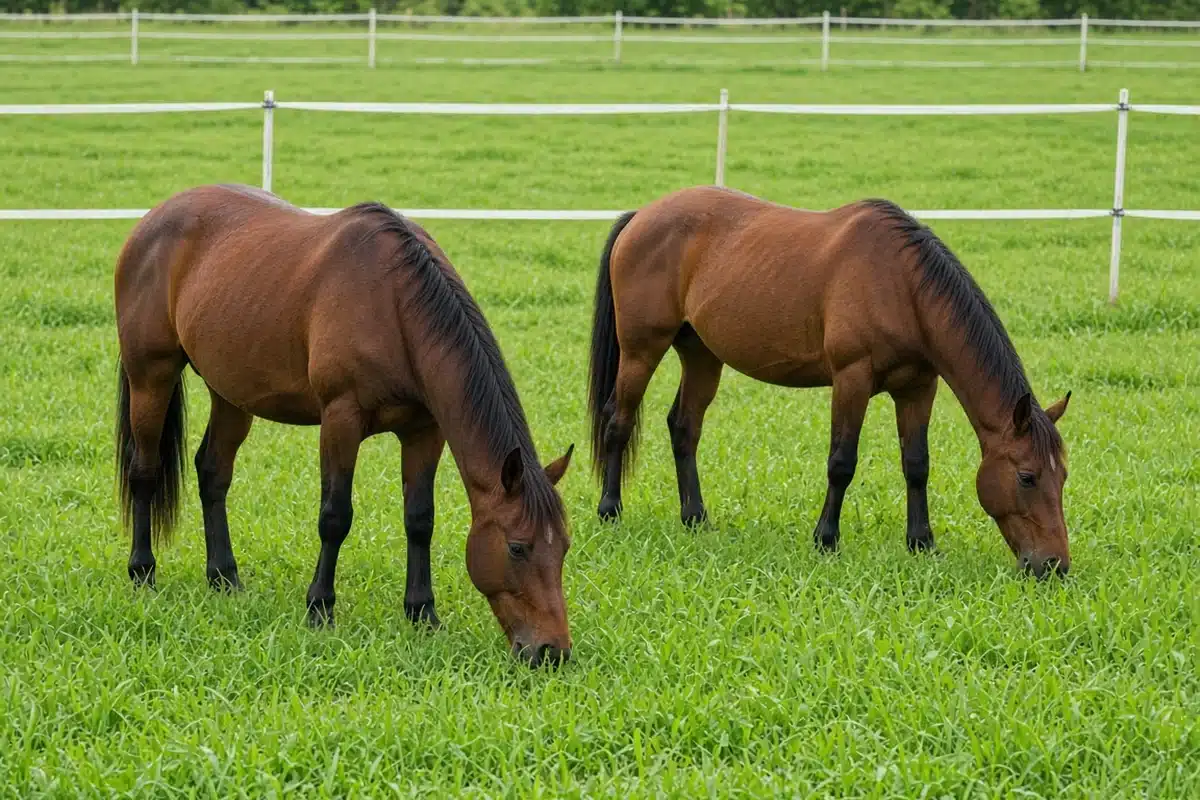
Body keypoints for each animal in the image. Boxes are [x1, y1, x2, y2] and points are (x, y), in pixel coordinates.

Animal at [114, 184, 575, 667]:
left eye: (564, 546)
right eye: (517, 547)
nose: (552, 651)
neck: (394, 305)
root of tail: (153, 219)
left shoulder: (424, 432)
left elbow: (420, 519)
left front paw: (422, 612)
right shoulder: (340, 419)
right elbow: (335, 516)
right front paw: (320, 607)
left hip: (231, 393)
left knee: (213, 473)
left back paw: (224, 577)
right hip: (151, 377)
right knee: (144, 472)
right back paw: (143, 573)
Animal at [587, 186, 1071, 578]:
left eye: (1062, 476)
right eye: (1027, 476)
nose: (1054, 565)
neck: (902, 285)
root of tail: (642, 215)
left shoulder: (918, 388)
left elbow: (917, 464)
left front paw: (921, 542)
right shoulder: (851, 379)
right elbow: (842, 462)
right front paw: (826, 539)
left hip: (702, 355)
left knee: (684, 427)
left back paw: (695, 518)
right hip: (641, 350)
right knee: (618, 421)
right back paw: (610, 511)